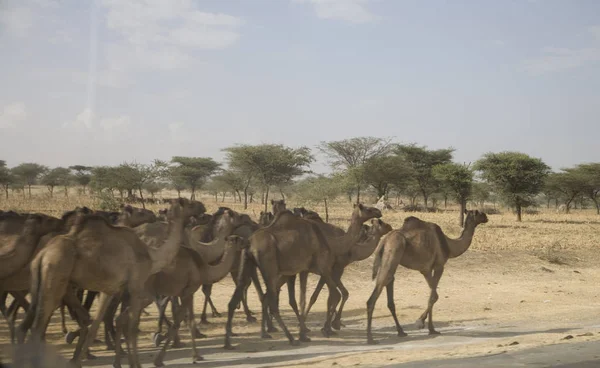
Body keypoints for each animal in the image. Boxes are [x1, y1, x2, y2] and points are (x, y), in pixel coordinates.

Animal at [18, 198, 206, 368]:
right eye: (189, 203)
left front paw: (80, 361)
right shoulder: (136, 285)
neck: (153, 255)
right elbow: (132, 327)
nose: (202, 207)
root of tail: (42, 255)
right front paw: (135, 364)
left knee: (29, 324)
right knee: (37, 328)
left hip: (40, 283)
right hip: (55, 278)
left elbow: (96, 324)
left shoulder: (109, 290)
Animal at [366, 210, 488, 344]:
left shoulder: (426, 270)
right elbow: (434, 296)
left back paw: (400, 332)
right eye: (478, 213)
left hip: (389, 259)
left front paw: (431, 329)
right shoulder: (439, 266)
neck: (449, 245)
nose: (486, 217)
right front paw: (420, 322)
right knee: (375, 295)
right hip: (393, 252)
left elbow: (433, 295)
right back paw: (370, 338)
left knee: (388, 282)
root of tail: (384, 241)